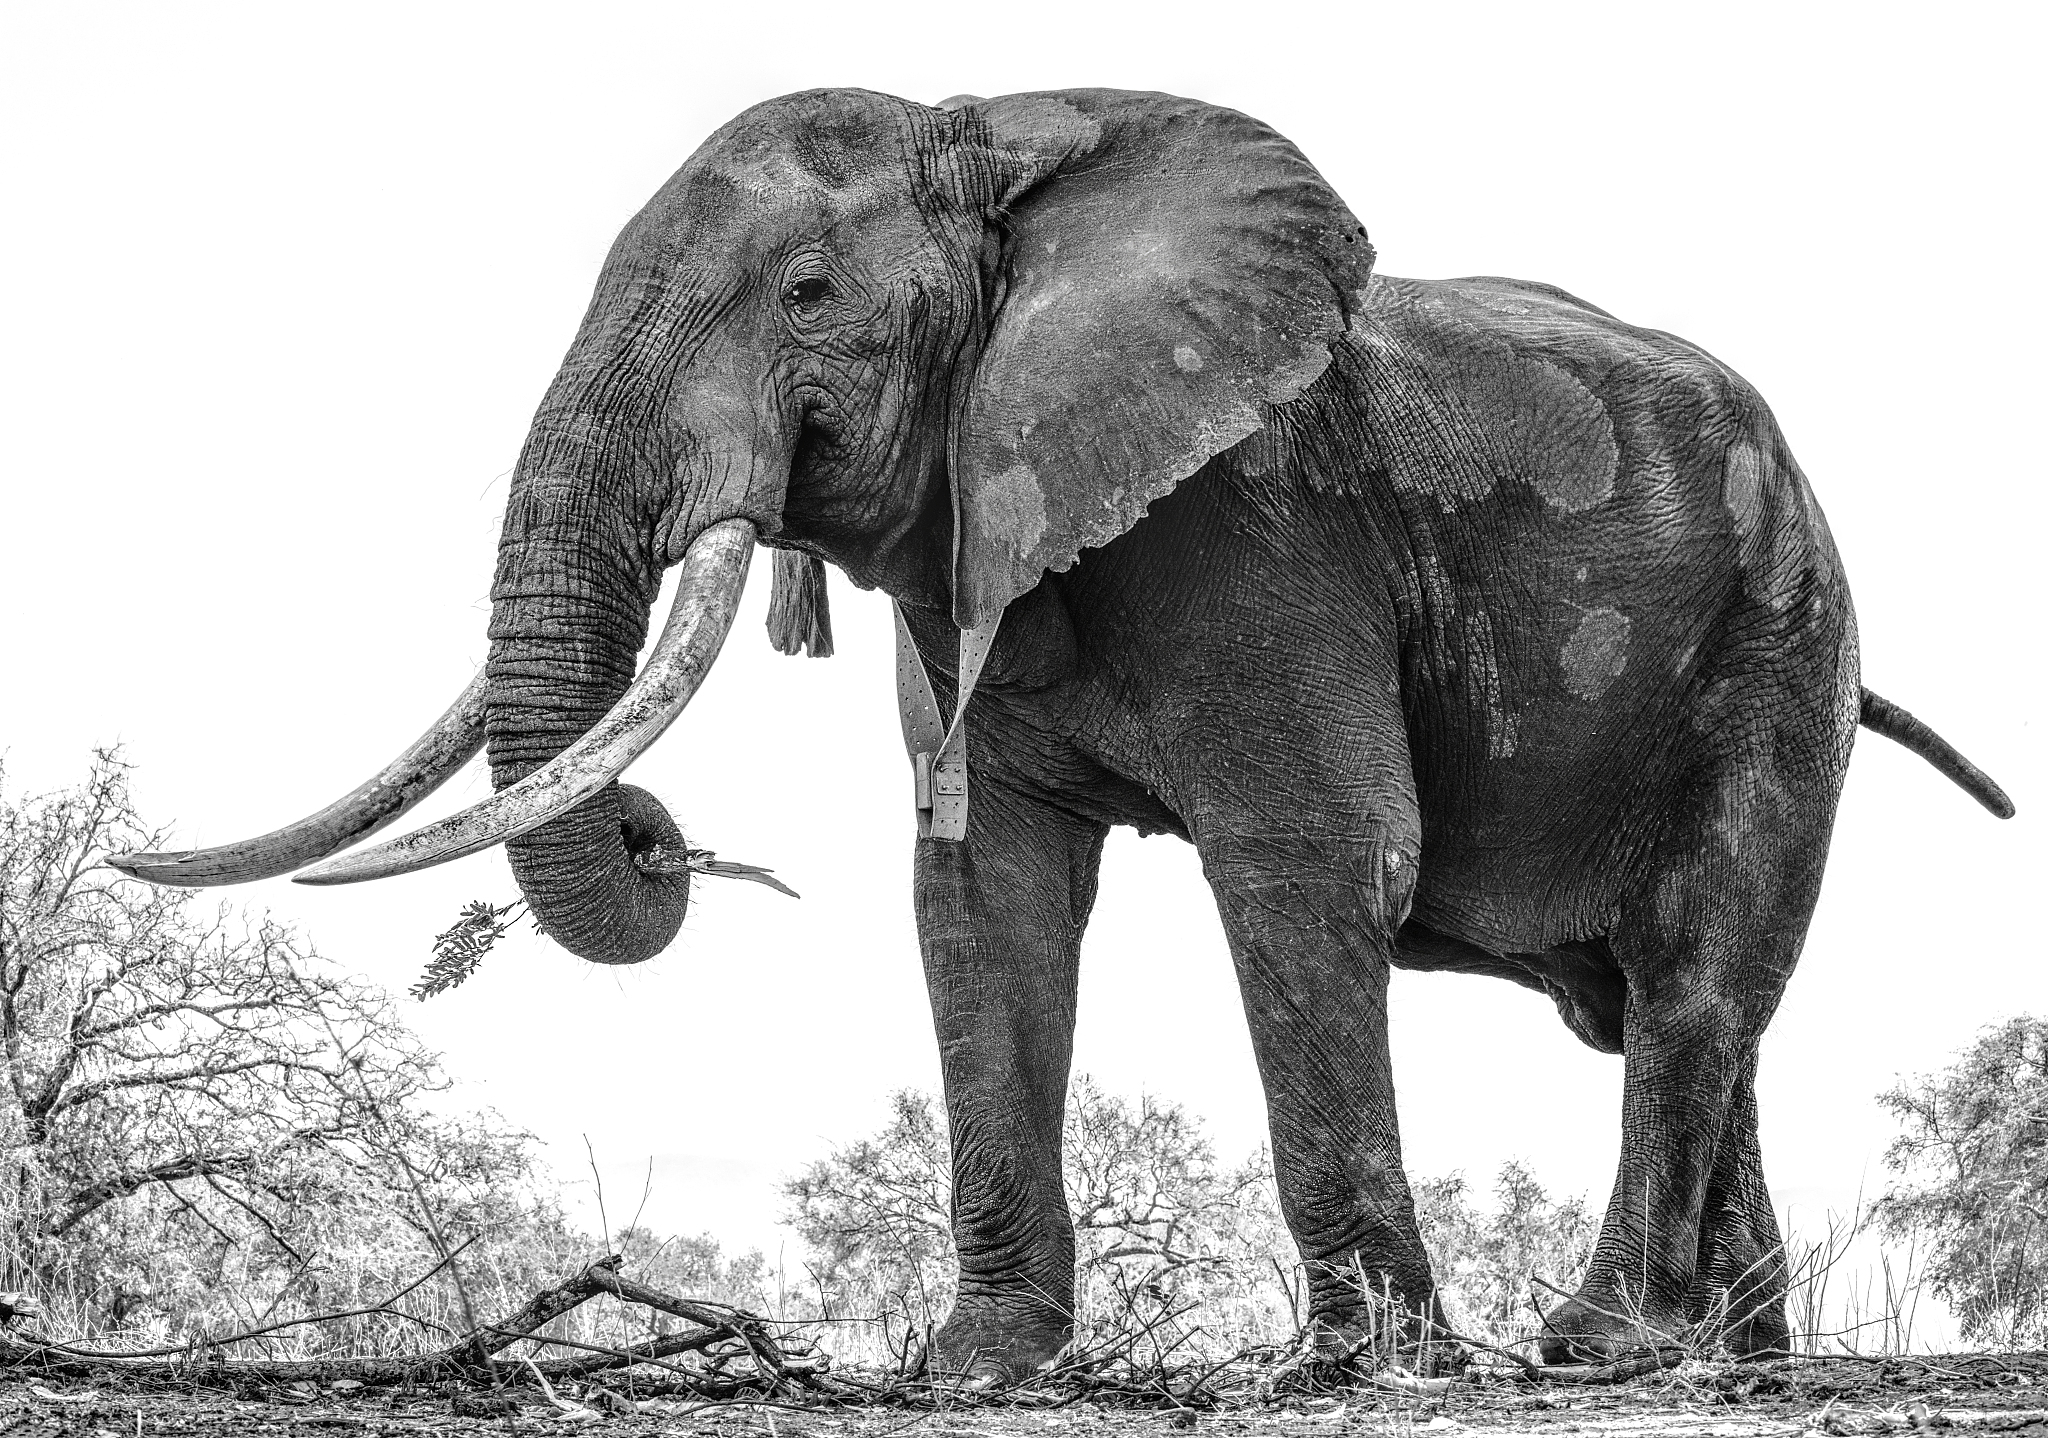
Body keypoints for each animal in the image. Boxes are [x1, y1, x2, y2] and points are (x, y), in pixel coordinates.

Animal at [116, 87, 2014, 1377]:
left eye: (806, 295)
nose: (667, 836)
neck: (997, 146)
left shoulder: (1260, 520)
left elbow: (1314, 857)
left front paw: (1363, 1367)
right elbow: (982, 896)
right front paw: (979, 1363)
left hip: (1775, 641)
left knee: (1689, 973)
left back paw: (1597, 1342)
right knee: (1670, 1007)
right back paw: (1729, 1353)